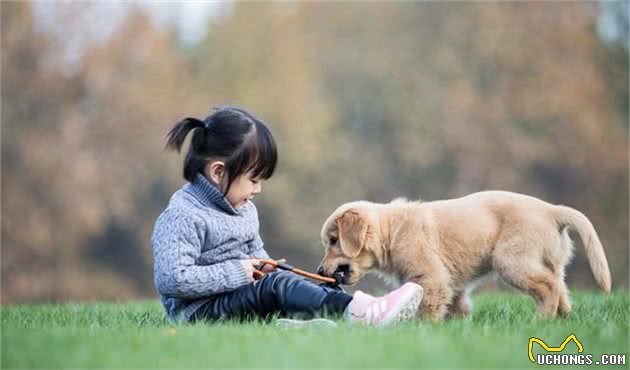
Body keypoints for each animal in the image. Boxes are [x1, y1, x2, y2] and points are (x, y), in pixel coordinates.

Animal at [318, 192, 616, 322]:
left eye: (333, 241)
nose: (320, 271)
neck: (392, 230)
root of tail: (552, 210)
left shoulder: (432, 278)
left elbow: (427, 309)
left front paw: (419, 328)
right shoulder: (453, 286)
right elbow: (457, 307)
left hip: (511, 261)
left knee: (549, 288)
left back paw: (540, 321)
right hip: (547, 263)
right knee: (561, 290)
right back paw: (561, 321)